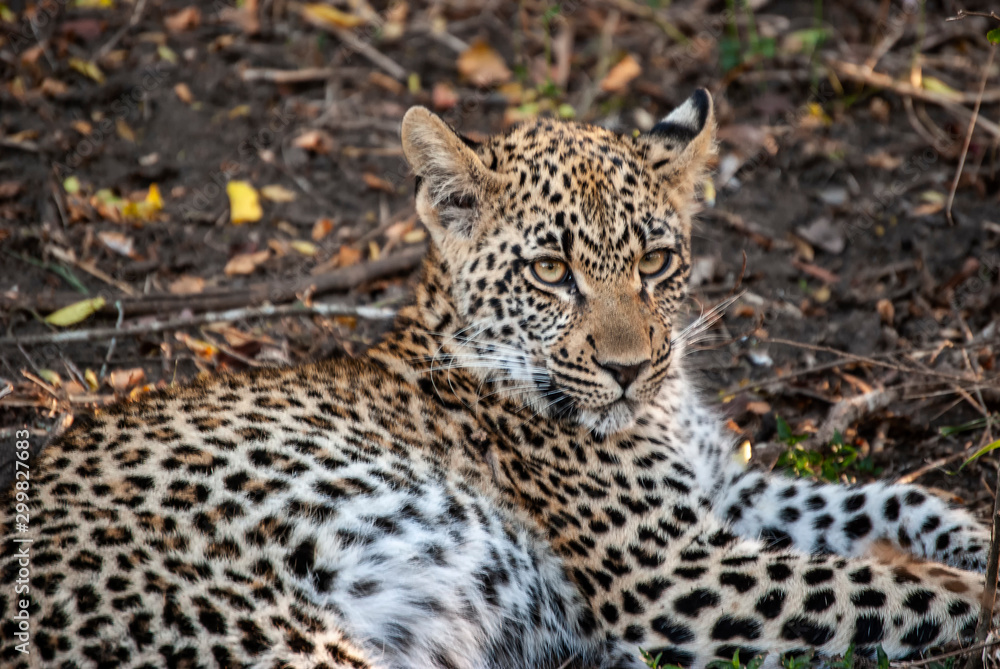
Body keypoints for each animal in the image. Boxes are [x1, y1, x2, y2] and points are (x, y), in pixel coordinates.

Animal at [1, 89, 993, 669]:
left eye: (656, 260)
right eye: (551, 271)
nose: (630, 369)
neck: (663, 411)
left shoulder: (721, 493)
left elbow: (882, 501)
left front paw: (969, 536)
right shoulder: (667, 570)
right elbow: (891, 588)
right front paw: (975, 589)